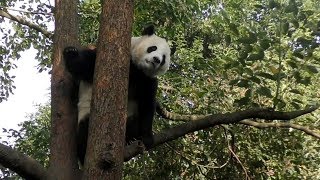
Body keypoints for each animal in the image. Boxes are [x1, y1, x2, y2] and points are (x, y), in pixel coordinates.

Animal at [63, 25, 171, 165]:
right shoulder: (105, 59)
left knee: (134, 123)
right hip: (86, 114)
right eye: (153, 48)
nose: (156, 60)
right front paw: (70, 52)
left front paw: (147, 138)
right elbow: (82, 65)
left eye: (163, 58)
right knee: (84, 130)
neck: (138, 68)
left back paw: (130, 140)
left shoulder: (148, 81)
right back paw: (83, 154)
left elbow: (147, 105)